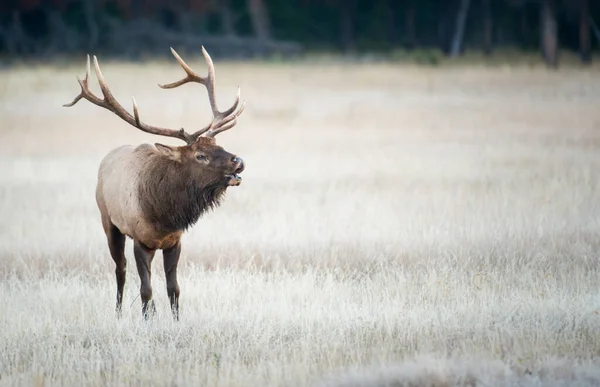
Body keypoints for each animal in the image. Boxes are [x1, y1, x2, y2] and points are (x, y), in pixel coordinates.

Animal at [63, 47, 246, 322]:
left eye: (218, 145)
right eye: (200, 156)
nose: (239, 162)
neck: (163, 214)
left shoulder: (175, 241)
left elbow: (173, 288)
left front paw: (175, 320)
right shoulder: (141, 240)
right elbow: (146, 289)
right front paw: (146, 322)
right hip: (109, 223)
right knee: (120, 270)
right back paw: (118, 313)